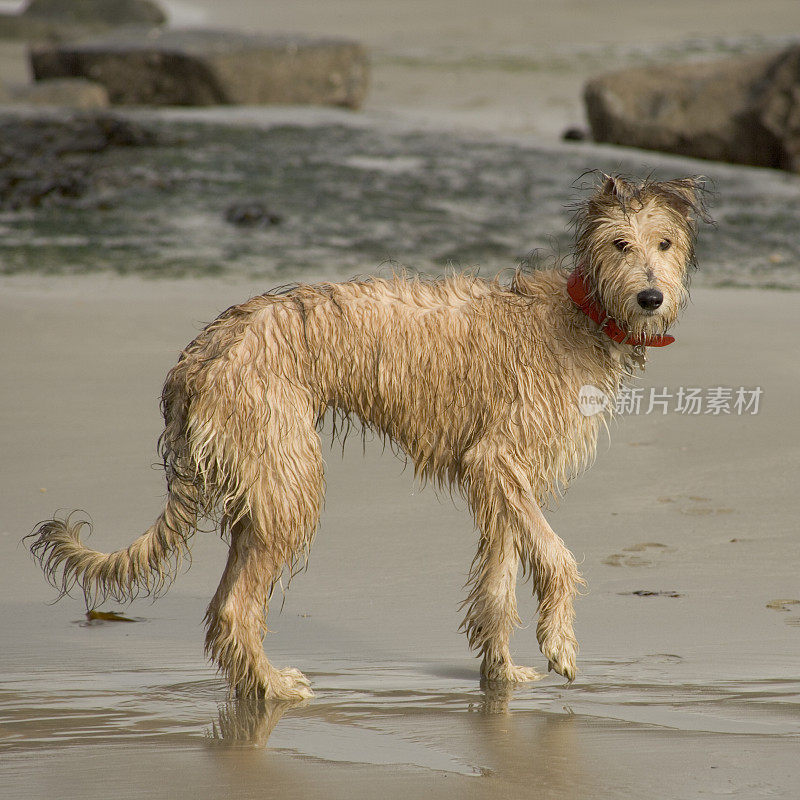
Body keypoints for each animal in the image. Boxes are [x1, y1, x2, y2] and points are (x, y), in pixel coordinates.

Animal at [29, 173, 708, 700]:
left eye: (665, 242)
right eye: (620, 243)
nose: (652, 297)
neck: (578, 317)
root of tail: (197, 357)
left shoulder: (499, 480)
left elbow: (497, 584)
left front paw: (503, 672)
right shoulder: (497, 460)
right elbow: (558, 558)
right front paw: (560, 644)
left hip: (263, 482)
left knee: (225, 608)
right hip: (289, 477)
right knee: (236, 607)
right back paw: (273, 687)